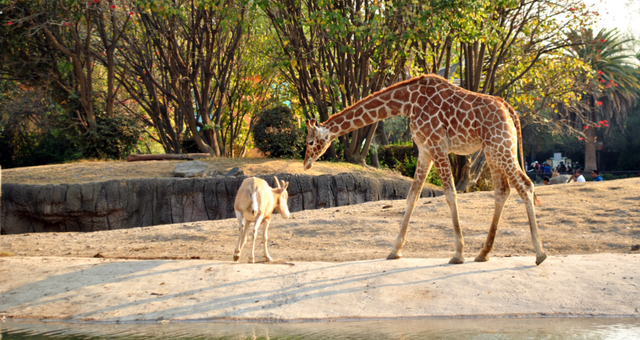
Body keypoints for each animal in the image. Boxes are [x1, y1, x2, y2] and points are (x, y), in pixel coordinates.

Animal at [302, 73, 548, 266]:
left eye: (311, 142)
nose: (305, 163)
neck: (408, 102)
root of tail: (510, 110)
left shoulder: (437, 145)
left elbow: (450, 193)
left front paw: (458, 254)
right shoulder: (424, 150)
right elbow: (412, 196)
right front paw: (394, 250)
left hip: (500, 146)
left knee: (526, 185)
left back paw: (540, 254)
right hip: (493, 150)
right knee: (502, 191)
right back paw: (483, 254)